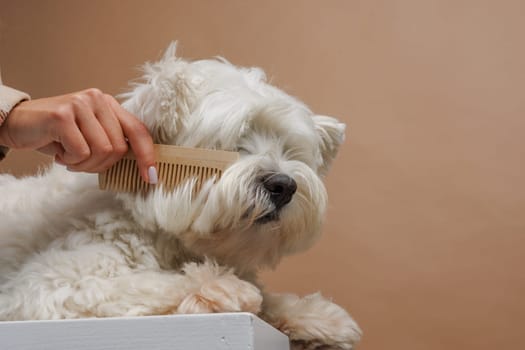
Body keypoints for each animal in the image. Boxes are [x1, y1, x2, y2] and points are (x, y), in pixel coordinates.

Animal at [0, 42, 360, 348]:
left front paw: (315, 316)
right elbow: (146, 283)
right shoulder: (47, 286)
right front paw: (220, 286)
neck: (170, 240)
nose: (284, 186)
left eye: (289, 149)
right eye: (234, 142)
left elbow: (270, 296)